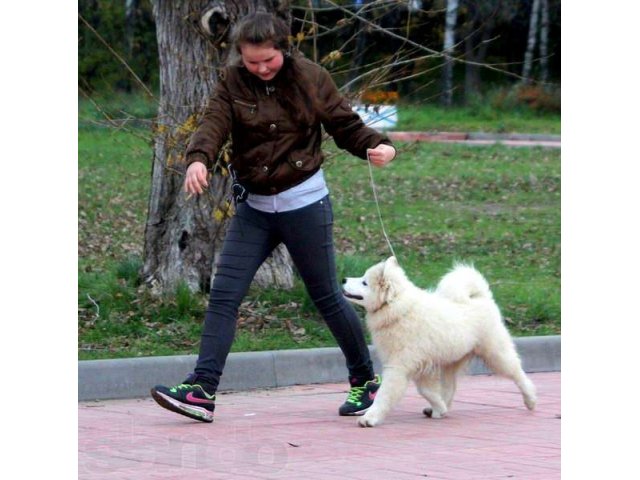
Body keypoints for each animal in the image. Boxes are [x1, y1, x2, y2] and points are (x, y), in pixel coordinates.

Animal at [342, 258, 536, 428]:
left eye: (364, 282)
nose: (343, 279)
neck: (397, 309)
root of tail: (481, 297)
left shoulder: (399, 366)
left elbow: (385, 394)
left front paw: (370, 418)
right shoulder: (420, 366)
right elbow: (426, 391)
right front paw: (439, 407)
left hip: (495, 354)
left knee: (518, 374)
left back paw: (531, 400)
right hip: (451, 361)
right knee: (450, 388)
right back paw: (439, 408)